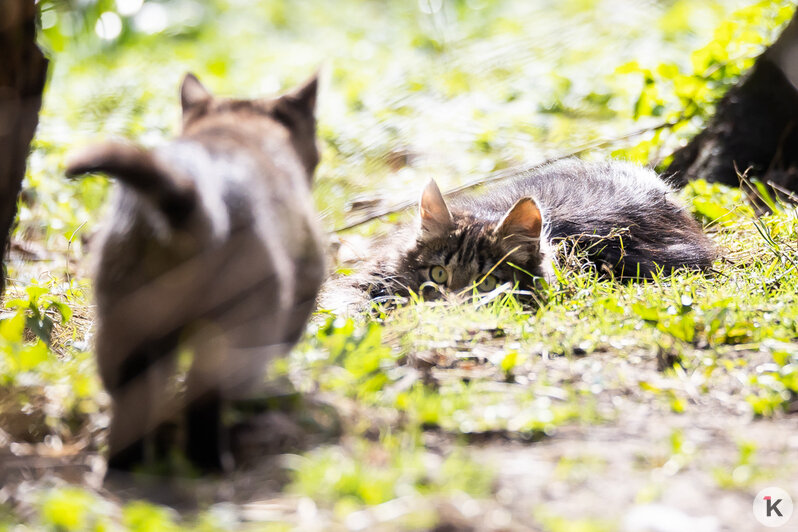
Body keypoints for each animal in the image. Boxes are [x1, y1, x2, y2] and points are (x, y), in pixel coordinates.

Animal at [65, 71, 326, 474]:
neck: (235, 129)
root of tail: (190, 198)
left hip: (123, 326)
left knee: (134, 401)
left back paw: (126, 465)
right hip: (239, 326)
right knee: (206, 397)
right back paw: (212, 462)